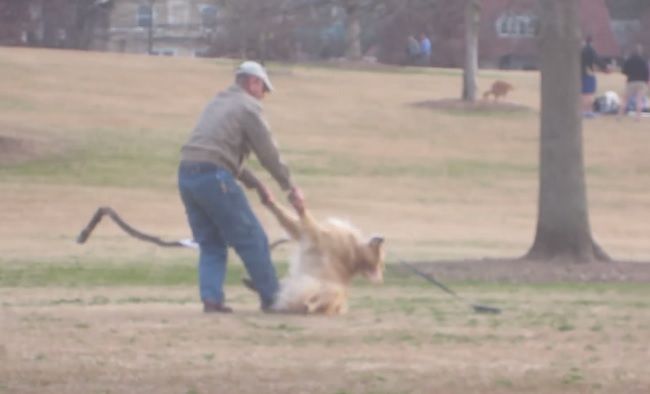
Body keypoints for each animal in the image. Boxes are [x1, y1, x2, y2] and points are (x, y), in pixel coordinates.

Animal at [246, 189, 382, 316]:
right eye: (379, 258)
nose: (382, 239)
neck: (354, 252)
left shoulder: (313, 233)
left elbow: (301, 218)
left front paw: (295, 204)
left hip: (325, 289)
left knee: (308, 303)